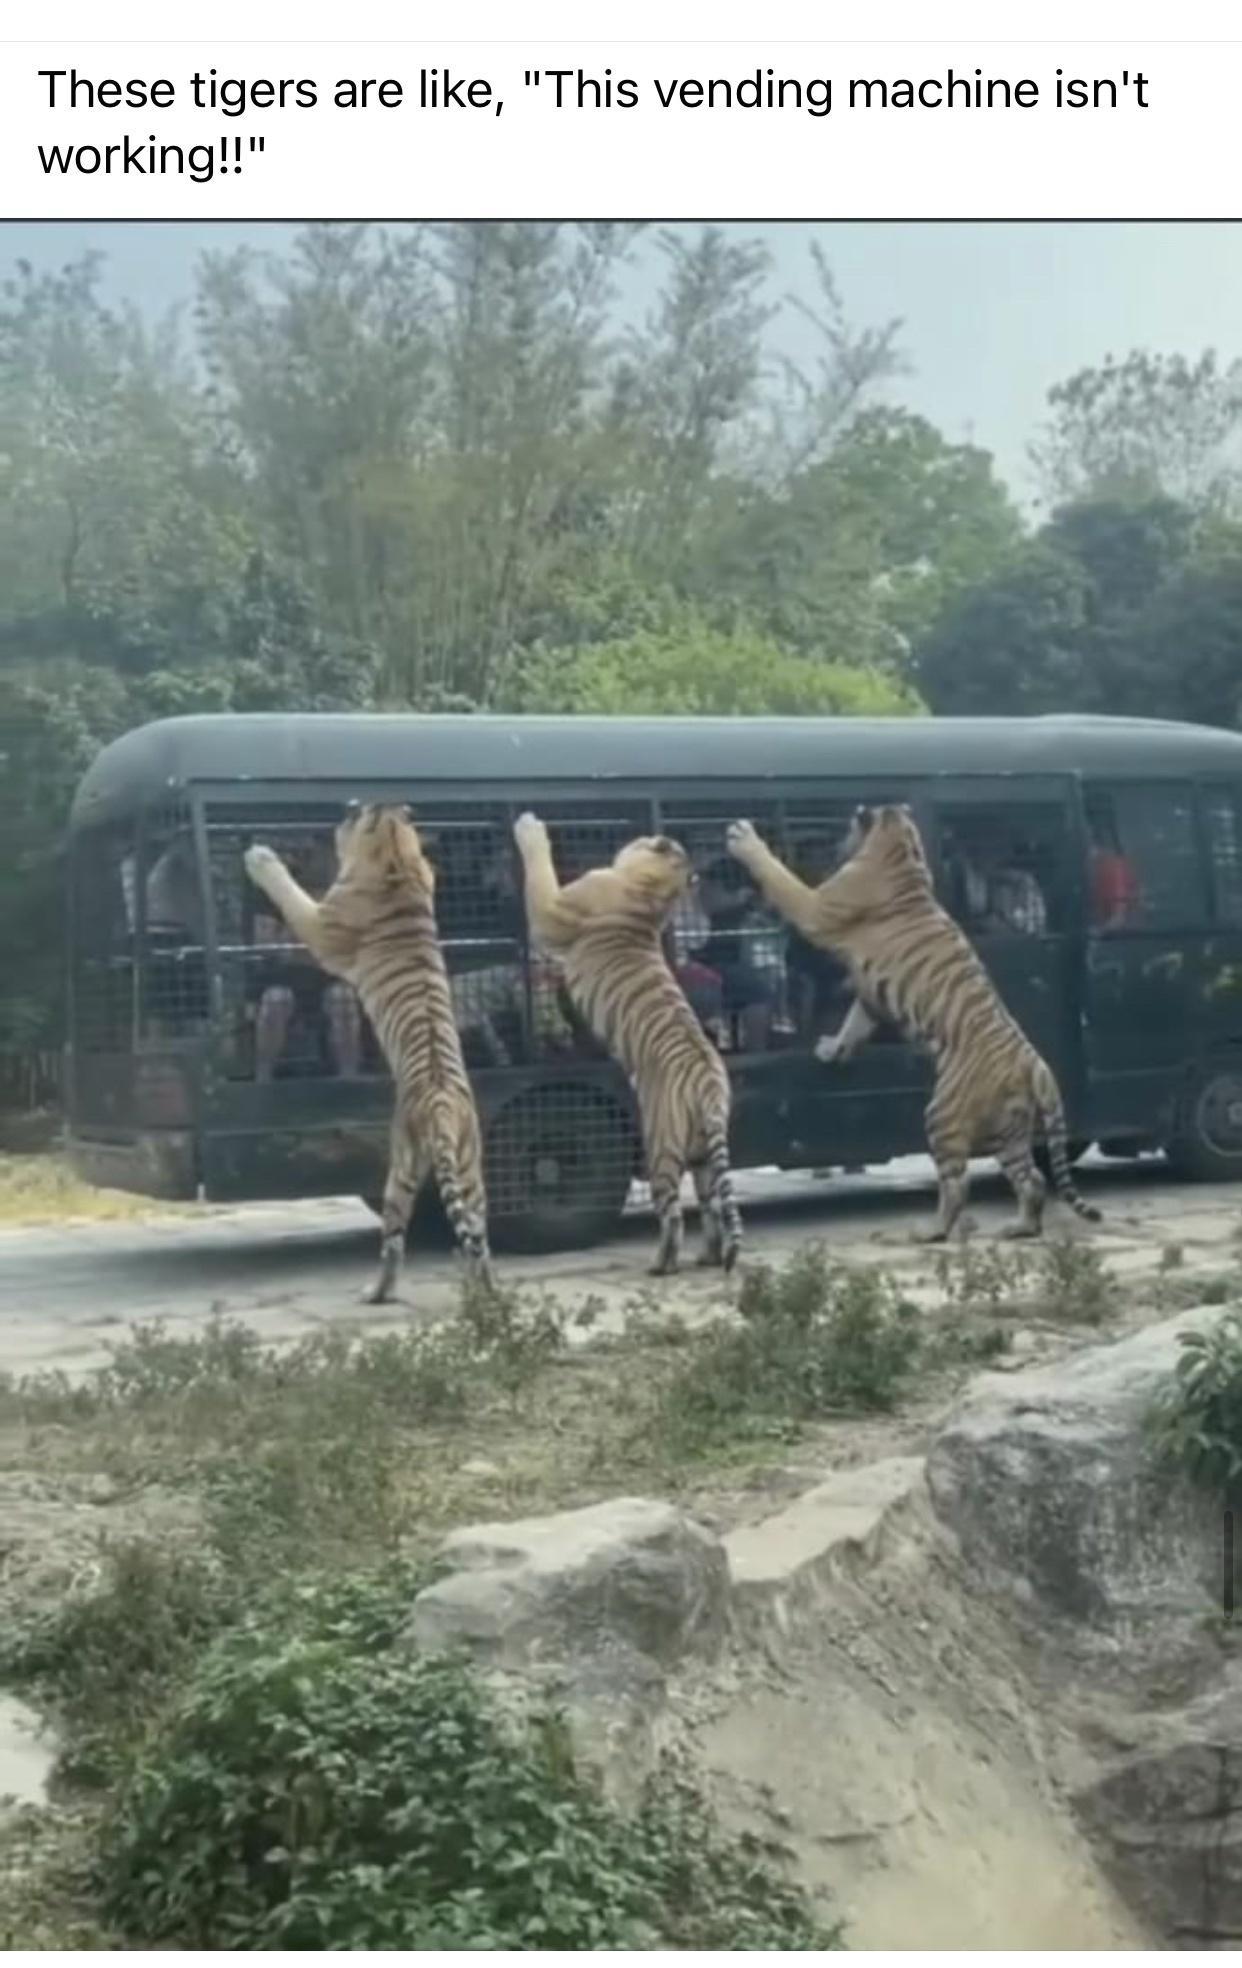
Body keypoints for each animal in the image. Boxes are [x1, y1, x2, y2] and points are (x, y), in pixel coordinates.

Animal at [244, 803, 495, 1305]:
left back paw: (376, 1292)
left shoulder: (321, 924)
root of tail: (441, 1104)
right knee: (478, 1238)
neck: (395, 860)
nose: (341, 815)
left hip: (400, 1166)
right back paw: (488, 1294)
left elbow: (292, 895)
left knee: (394, 1242)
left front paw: (261, 859)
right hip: (471, 1169)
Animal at [512, 811, 742, 1276]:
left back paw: (661, 1264)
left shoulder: (551, 912)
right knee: (711, 1207)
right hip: (704, 1155)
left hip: (661, 1144)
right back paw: (708, 1256)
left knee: (673, 1214)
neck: (653, 893)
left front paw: (530, 827)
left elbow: (540, 871)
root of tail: (710, 1085)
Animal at [725, 804, 1101, 1244]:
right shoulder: (871, 995)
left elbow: (780, 877)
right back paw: (1019, 1228)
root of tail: (1035, 1064)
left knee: (957, 1185)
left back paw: (931, 1231)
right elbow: (854, 1023)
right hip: (1009, 1128)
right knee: (1032, 1179)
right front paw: (833, 1048)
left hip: (945, 1113)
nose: (834, 842)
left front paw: (744, 838)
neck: (903, 853)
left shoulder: (817, 908)